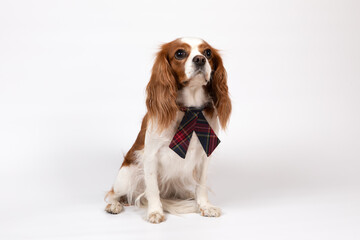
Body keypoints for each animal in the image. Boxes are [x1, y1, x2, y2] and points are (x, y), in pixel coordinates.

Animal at [105, 37, 232, 223]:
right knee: (113, 193)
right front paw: (155, 211)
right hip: (126, 176)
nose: (200, 59)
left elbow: (201, 185)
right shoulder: (150, 156)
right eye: (180, 53)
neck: (190, 109)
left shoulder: (204, 155)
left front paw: (205, 206)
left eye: (208, 52)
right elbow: (152, 189)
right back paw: (114, 205)